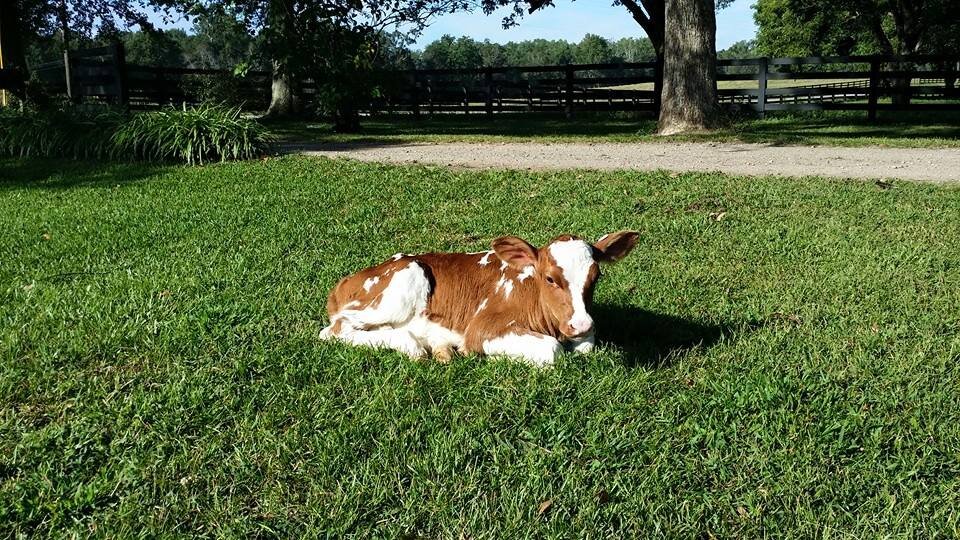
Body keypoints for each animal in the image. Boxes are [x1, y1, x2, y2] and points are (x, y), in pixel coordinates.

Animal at [319, 231, 639, 366]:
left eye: (596, 277)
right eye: (550, 278)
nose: (581, 324)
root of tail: (346, 280)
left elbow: (586, 345)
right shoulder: (482, 328)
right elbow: (552, 350)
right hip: (404, 282)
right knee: (334, 330)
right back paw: (413, 346)